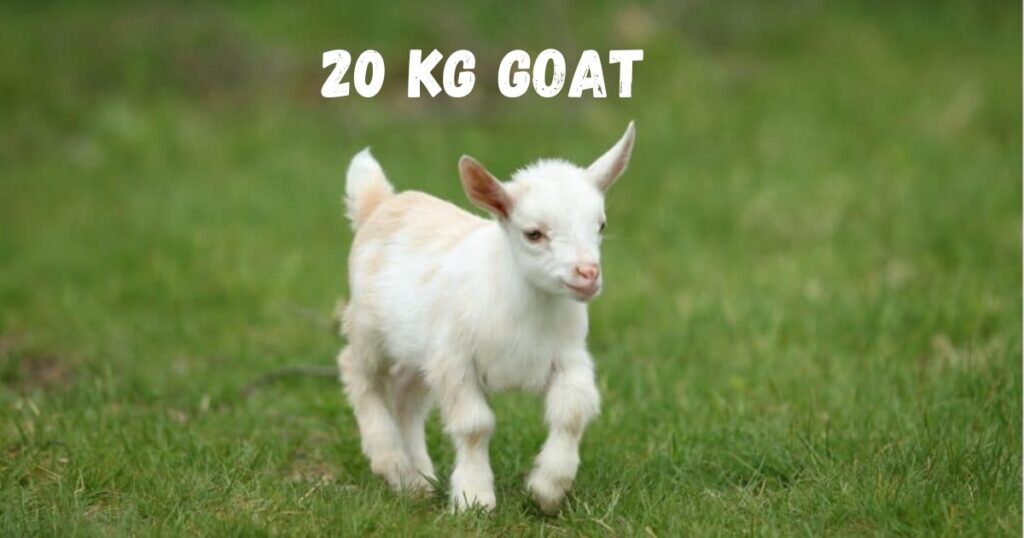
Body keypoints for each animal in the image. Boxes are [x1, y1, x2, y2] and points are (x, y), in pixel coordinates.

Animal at [337, 122, 635, 513]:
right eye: (533, 233)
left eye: (600, 225)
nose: (587, 274)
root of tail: (381, 204)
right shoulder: (456, 361)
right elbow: (474, 426)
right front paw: (474, 498)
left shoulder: (569, 359)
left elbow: (571, 413)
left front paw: (548, 488)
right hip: (369, 328)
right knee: (358, 372)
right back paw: (392, 463)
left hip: (421, 349)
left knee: (406, 393)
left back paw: (418, 480)